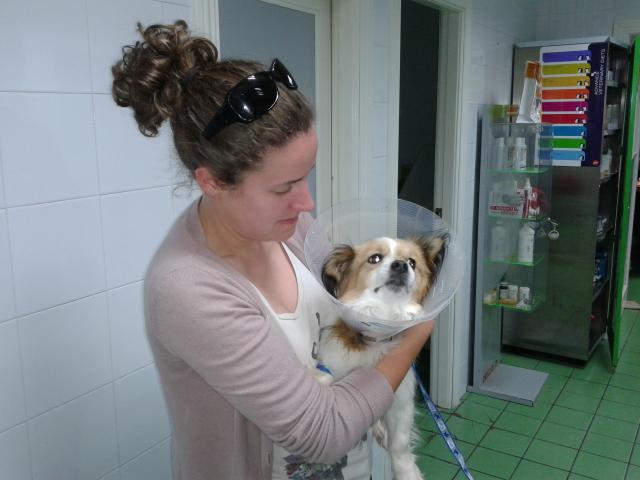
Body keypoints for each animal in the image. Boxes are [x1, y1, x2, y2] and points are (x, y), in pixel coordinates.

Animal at [316, 235, 447, 480]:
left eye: (412, 262)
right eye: (375, 258)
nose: (401, 265)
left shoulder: (401, 400)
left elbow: (400, 443)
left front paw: (407, 472)